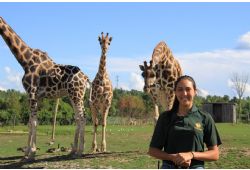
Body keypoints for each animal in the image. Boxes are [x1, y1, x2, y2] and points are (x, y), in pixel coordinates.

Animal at [0, 16, 90, 160]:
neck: (25, 61)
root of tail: (86, 78)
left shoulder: (31, 93)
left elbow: (33, 122)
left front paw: (31, 153)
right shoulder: (36, 96)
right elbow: (30, 122)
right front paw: (27, 152)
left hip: (76, 94)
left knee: (82, 117)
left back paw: (80, 151)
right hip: (72, 96)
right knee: (77, 118)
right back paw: (73, 150)